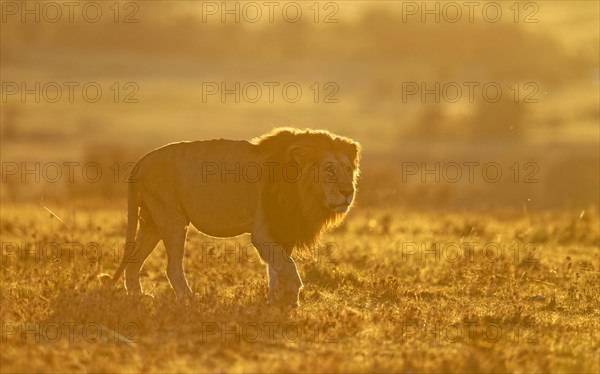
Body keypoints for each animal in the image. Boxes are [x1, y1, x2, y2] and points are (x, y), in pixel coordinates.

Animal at [111, 127, 360, 306]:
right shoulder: (263, 232)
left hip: (152, 222)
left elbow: (276, 269)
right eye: (329, 169)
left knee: (133, 261)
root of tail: (140, 163)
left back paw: (138, 297)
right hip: (172, 218)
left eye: (348, 170)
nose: (348, 192)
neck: (304, 193)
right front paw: (290, 298)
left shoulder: (282, 230)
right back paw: (189, 300)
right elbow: (288, 269)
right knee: (171, 267)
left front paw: (276, 301)